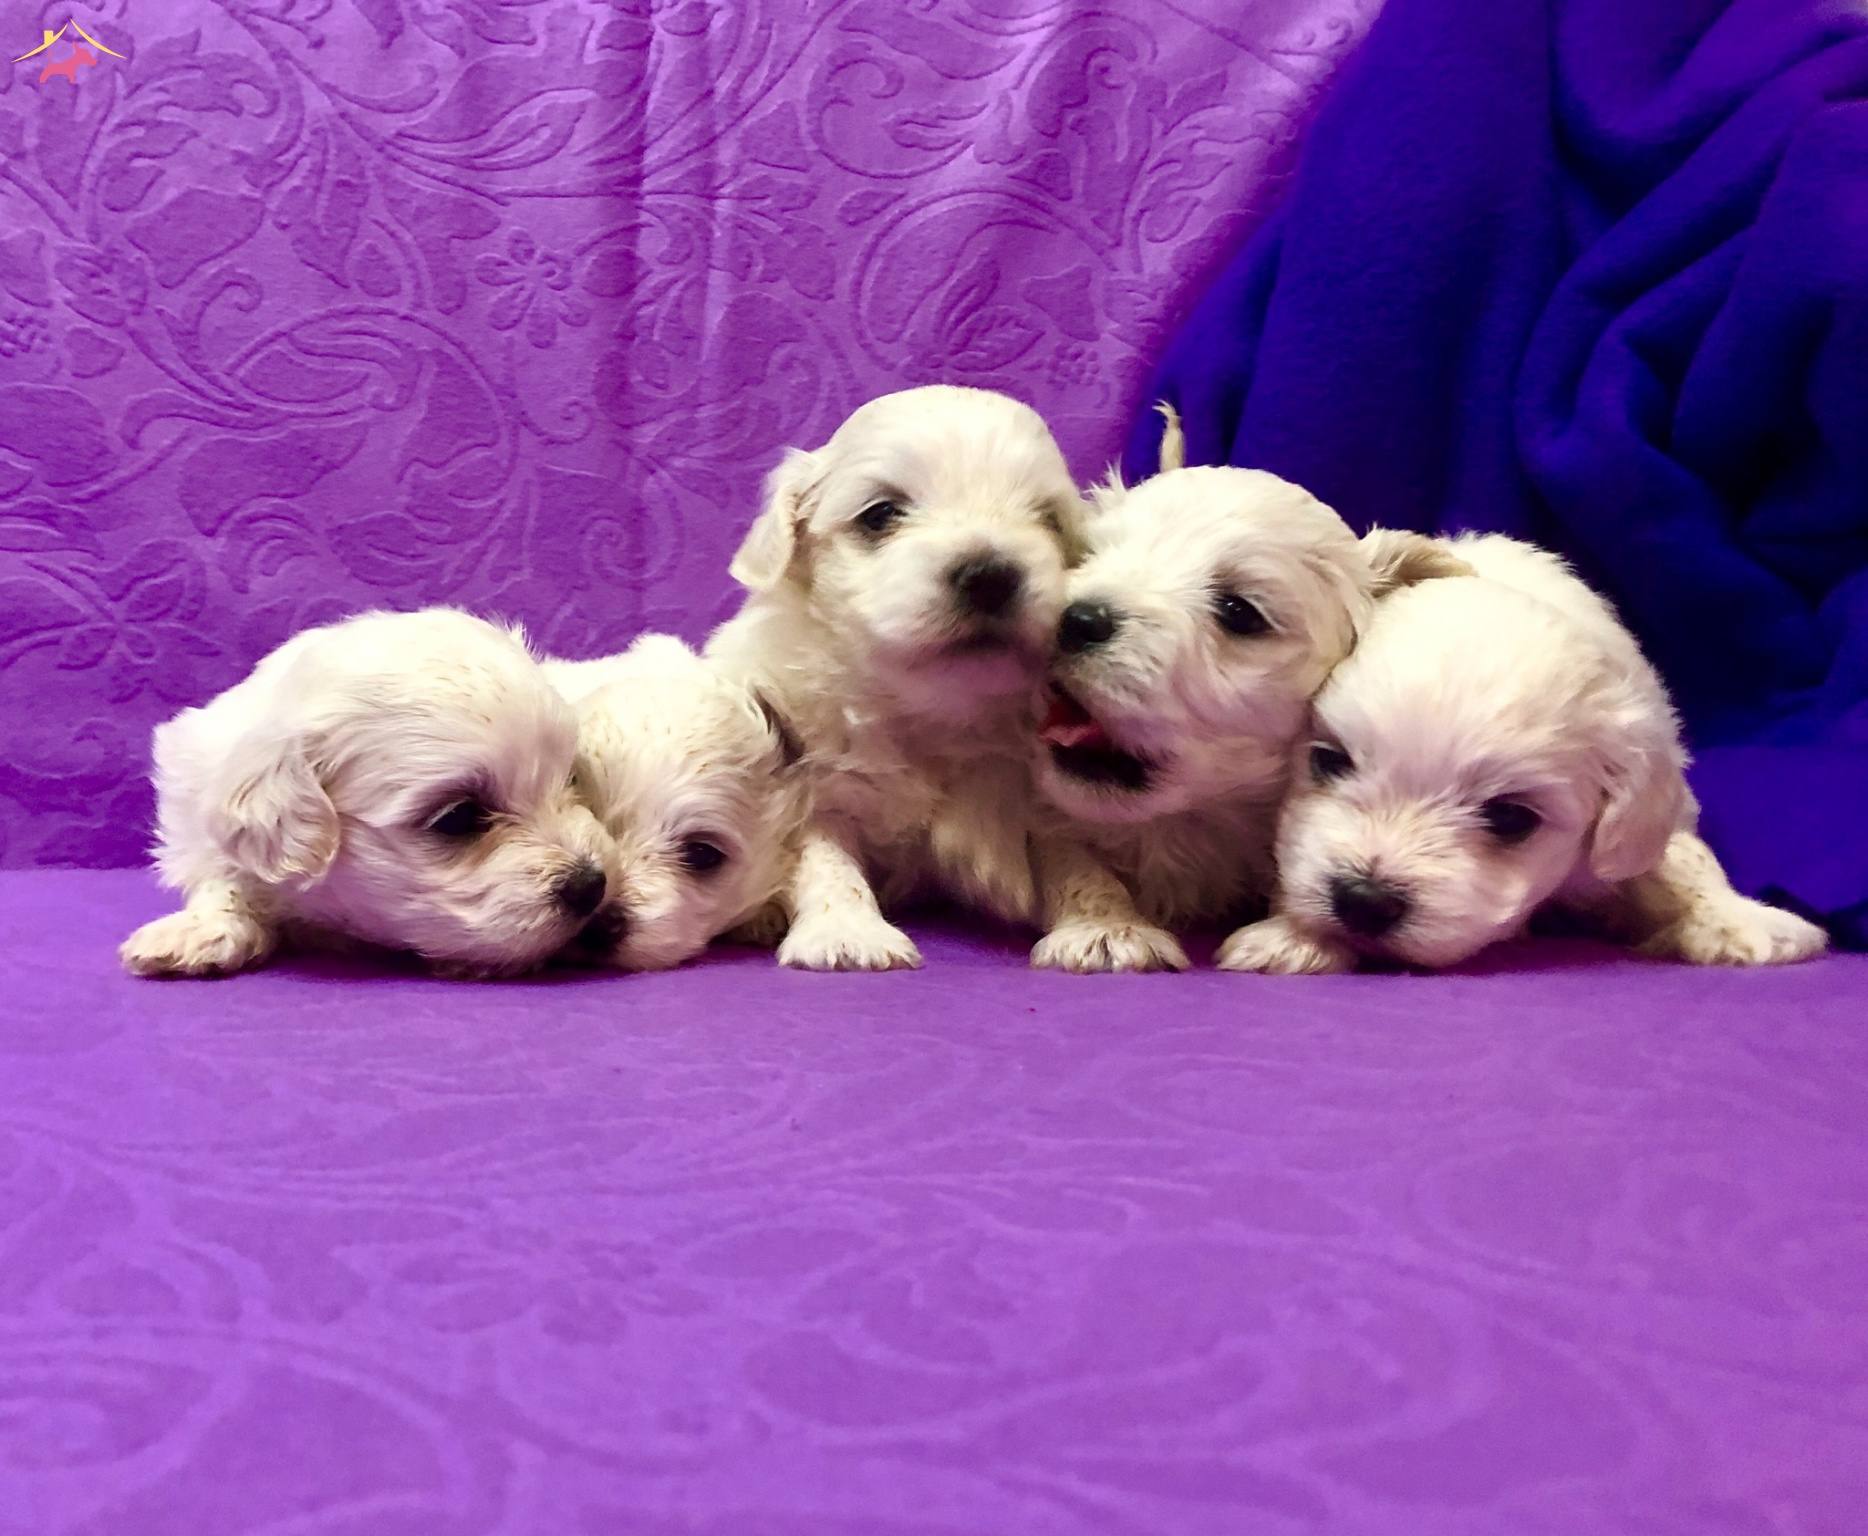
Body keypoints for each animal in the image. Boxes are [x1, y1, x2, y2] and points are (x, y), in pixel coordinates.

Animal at [706, 385, 1092, 970]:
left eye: (1048, 520)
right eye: (880, 514)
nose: (990, 574)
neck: (923, 709)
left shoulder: (1032, 799)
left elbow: (1075, 859)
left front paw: (1104, 927)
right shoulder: (809, 788)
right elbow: (825, 861)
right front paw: (847, 934)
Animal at [1220, 533, 1830, 972]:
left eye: (1512, 818)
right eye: (1329, 761)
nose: (1365, 900)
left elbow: (1681, 858)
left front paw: (1740, 922)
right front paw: (1294, 937)